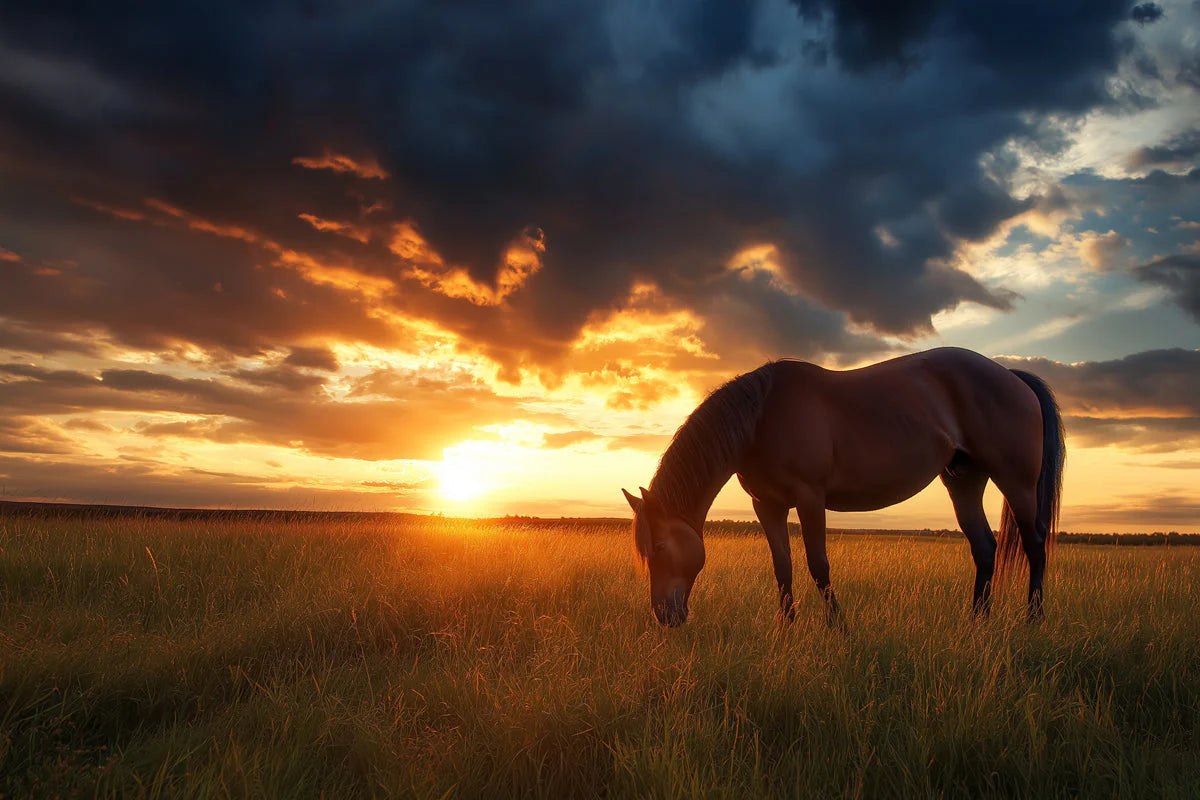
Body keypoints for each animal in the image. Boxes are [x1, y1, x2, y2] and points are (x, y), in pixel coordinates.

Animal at [622, 347, 1065, 627]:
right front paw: (787, 628)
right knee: (985, 547)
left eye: (658, 547)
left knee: (1034, 544)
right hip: (964, 480)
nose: (664, 617)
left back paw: (1033, 620)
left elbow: (818, 566)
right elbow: (782, 567)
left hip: (1017, 482)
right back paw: (977, 621)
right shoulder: (767, 505)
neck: (761, 419)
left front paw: (838, 628)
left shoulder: (809, 499)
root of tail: (1011, 376)